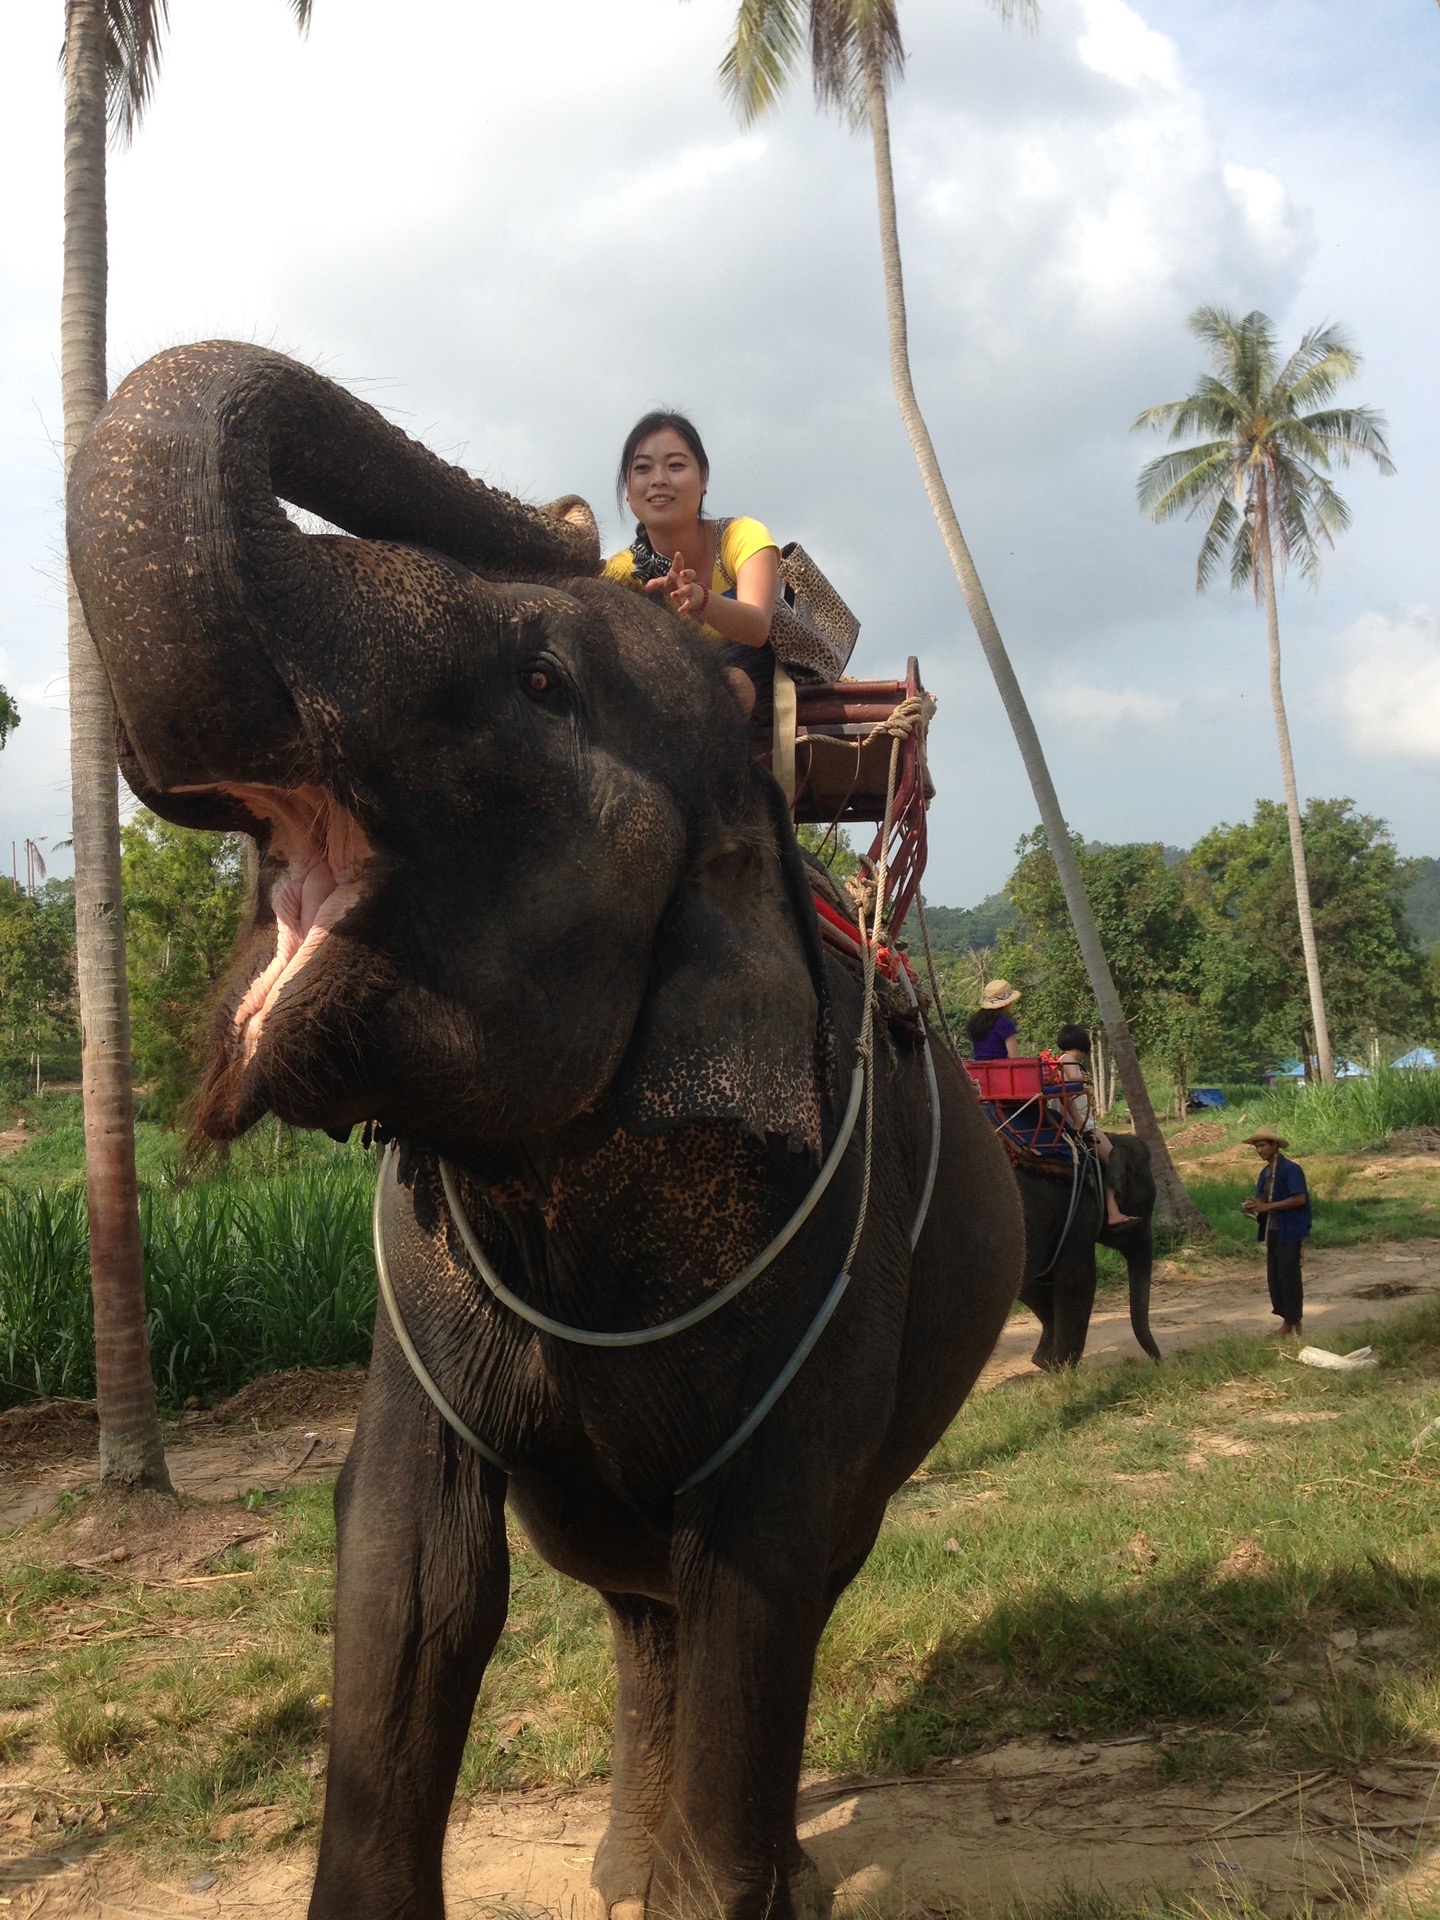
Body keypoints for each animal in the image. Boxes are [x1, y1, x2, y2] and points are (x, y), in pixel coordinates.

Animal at [67, 341, 1029, 1920]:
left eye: (538, 679)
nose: (589, 521)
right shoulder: (414, 1279)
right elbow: (412, 1570)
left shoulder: (842, 1243)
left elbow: (762, 1568)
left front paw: (725, 1897)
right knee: (646, 1604)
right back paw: (623, 1874)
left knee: (785, 1583)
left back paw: (746, 1875)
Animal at [1013, 1128, 1159, 1374]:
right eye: (1147, 1206)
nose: (1159, 1362)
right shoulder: (1080, 1214)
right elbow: (1079, 1279)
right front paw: (1064, 1367)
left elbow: (1029, 1283)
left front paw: (1044, 1362)